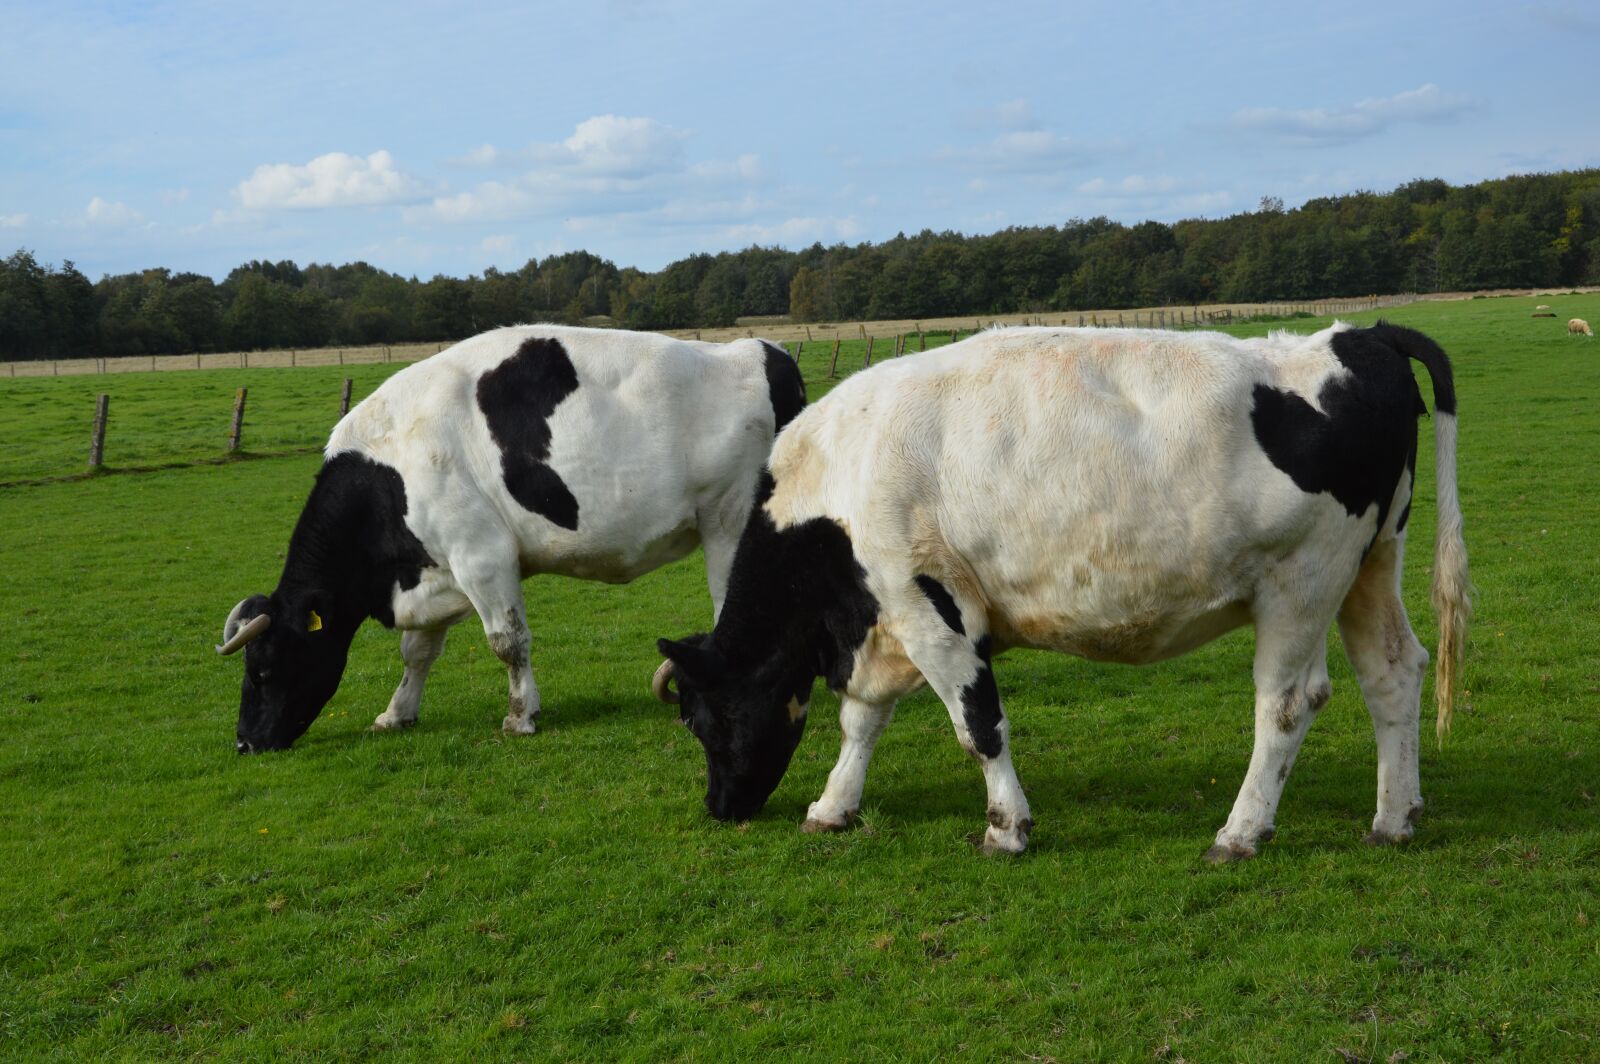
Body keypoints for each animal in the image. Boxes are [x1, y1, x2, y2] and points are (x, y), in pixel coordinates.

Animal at [217, 325, 806, 753]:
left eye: (262, 669)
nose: (244, 742)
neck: (389, 468)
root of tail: (761, 351)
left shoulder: (481, 556)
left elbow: (507, 641)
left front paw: (521, 716)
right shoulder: (435, 567)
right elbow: (417, 652)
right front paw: (396, 713)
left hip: (728, 519)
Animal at [654, 322, 1470, 861]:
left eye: (701, 718)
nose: (718, 808)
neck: (837, 479)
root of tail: (1356, 335)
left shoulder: (928, 605)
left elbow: (977, 723)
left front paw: (1006, 828)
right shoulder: (880, 618)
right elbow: (862, 719)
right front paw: (832, 805)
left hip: (1301, 581)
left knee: (1288, 703)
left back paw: (1240, 832)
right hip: (1370, 563)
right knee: (1394, 673)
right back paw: (1395, 816)